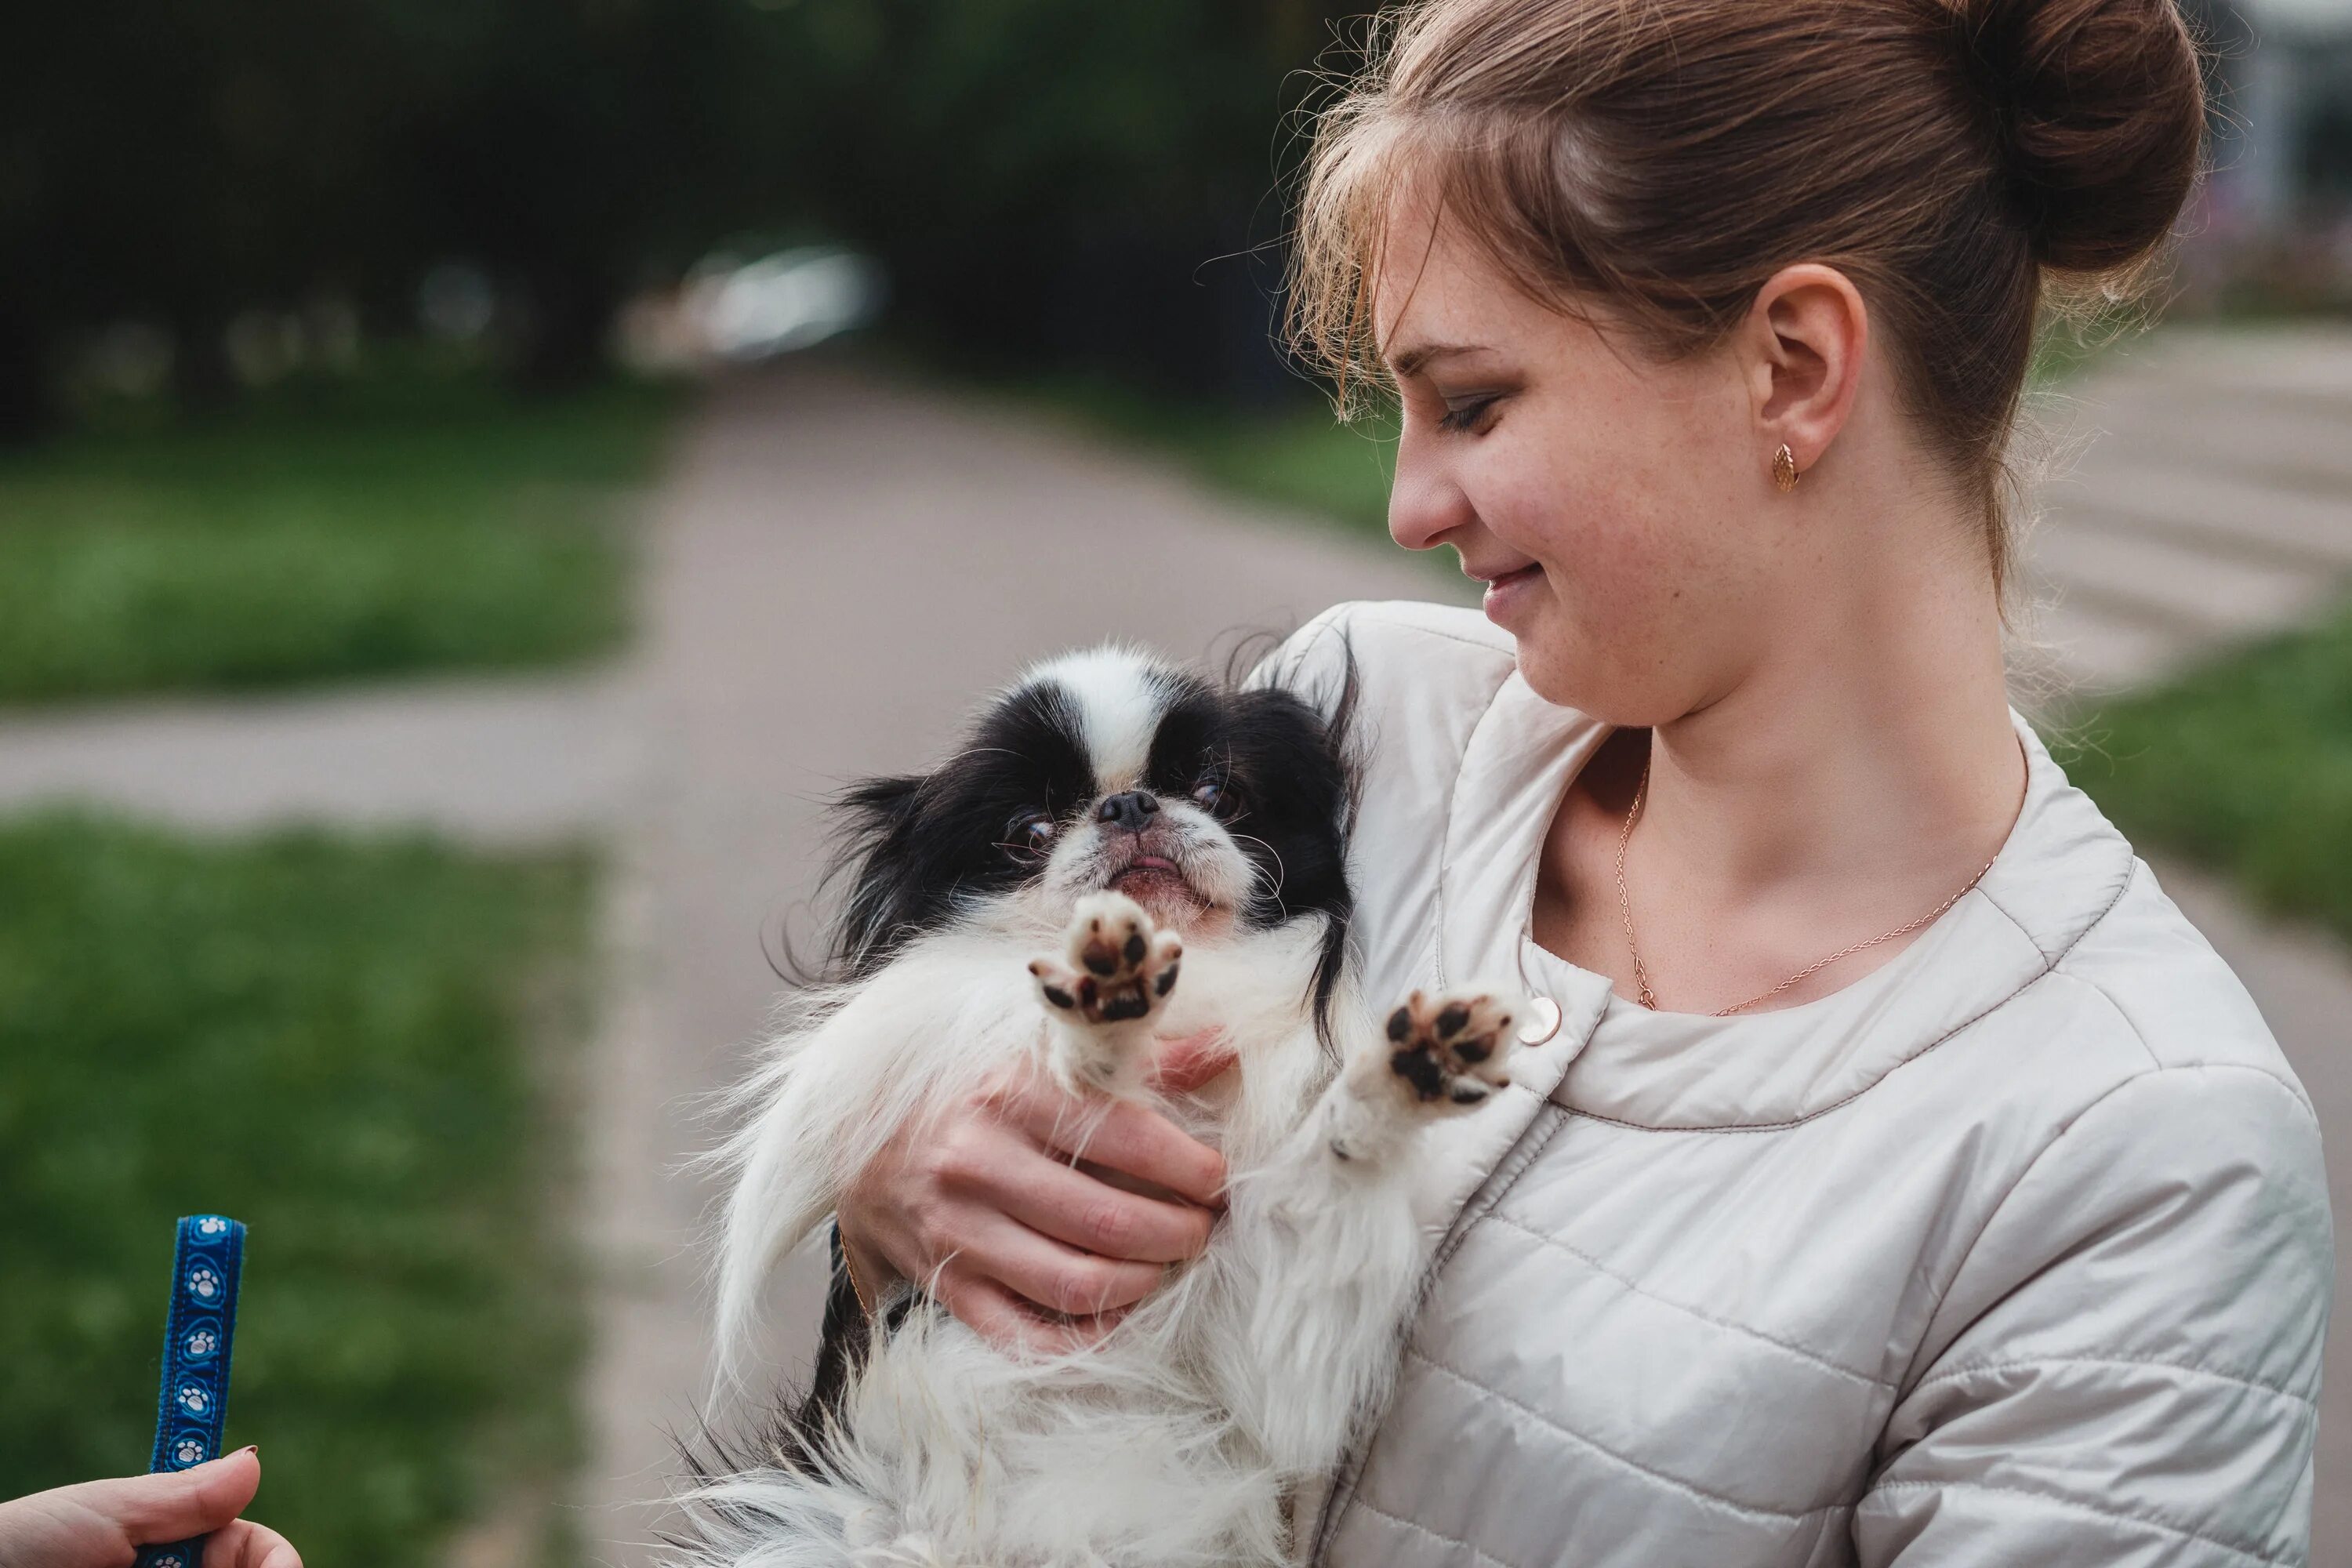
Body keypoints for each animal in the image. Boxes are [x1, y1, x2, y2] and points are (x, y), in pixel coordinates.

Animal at [687, 644, 1524, 1561]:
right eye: (1027, 833)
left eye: (1218, 790)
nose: (1129, 804)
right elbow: (1076, 1074)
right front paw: (1101, 1007)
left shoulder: (1280, 1349)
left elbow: (1342, 1155)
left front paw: (1415, 1063)